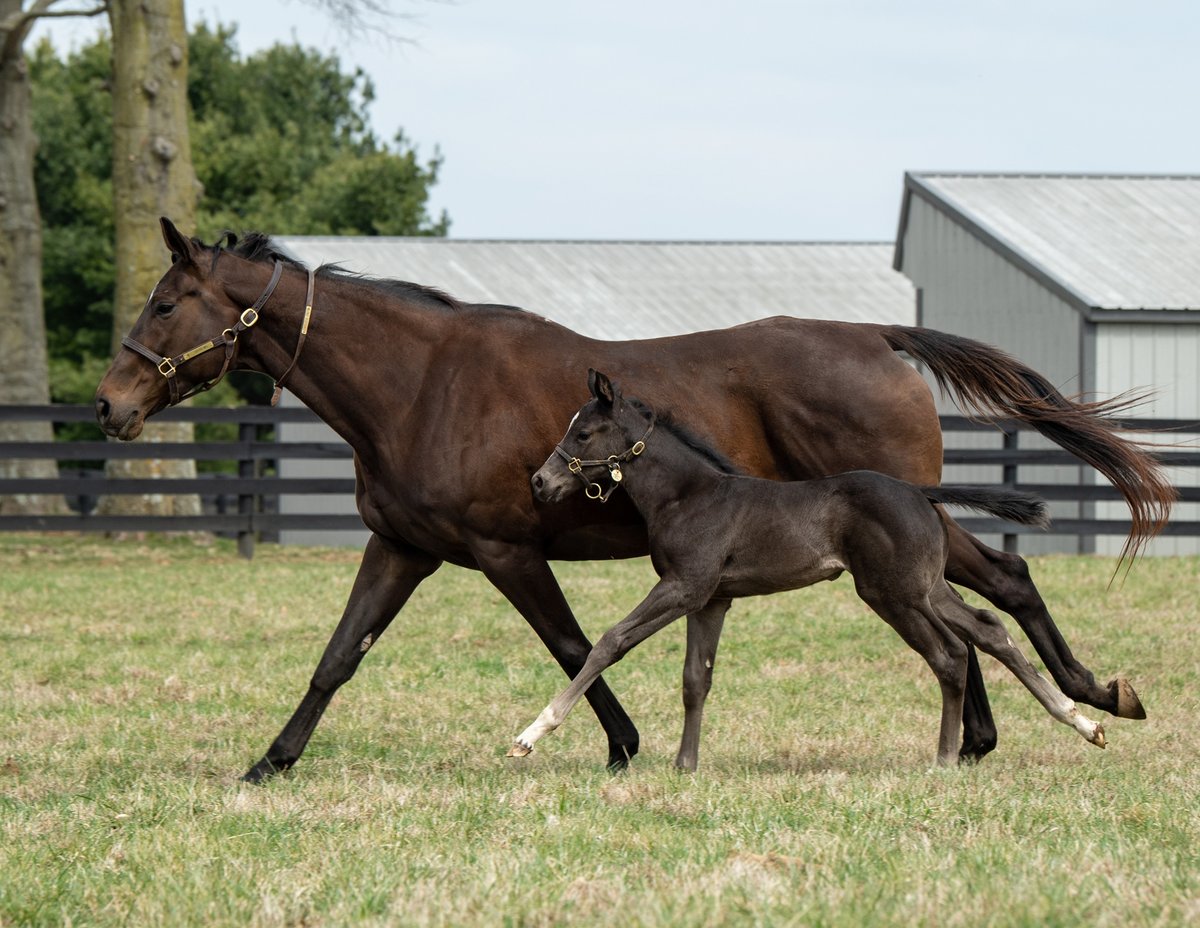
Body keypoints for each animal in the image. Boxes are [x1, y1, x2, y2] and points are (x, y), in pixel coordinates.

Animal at [510, 370, 1107, 768]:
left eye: (583, 434)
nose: (540, 482)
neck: (689, 495)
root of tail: (919, 492)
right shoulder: (713, 599)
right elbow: (695, 679)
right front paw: (685, 766)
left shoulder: (682, 587)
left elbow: (611, 642)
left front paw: (532, 732)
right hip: (925, 587)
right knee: (987, 629)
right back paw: (1082, 720)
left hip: (891, 593)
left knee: (950, 654)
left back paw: (943, 759)